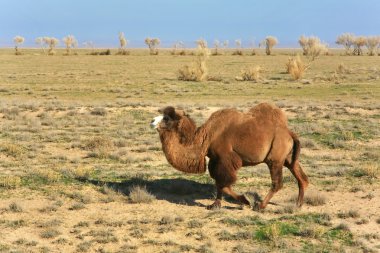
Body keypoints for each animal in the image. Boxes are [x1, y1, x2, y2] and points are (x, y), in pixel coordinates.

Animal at [149, 103, 308, 210]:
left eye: (167, 118)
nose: (151, 121)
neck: (207, 137)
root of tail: (290, 133)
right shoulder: (215, 160)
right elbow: (218, 183)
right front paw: (214, 205)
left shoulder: (226, 159)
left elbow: (224, 184)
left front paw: (245, 201)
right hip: (288, 158)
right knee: (302, 178)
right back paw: (298, 204)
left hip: (274, 159)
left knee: (277, 183)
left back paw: (260, 206)